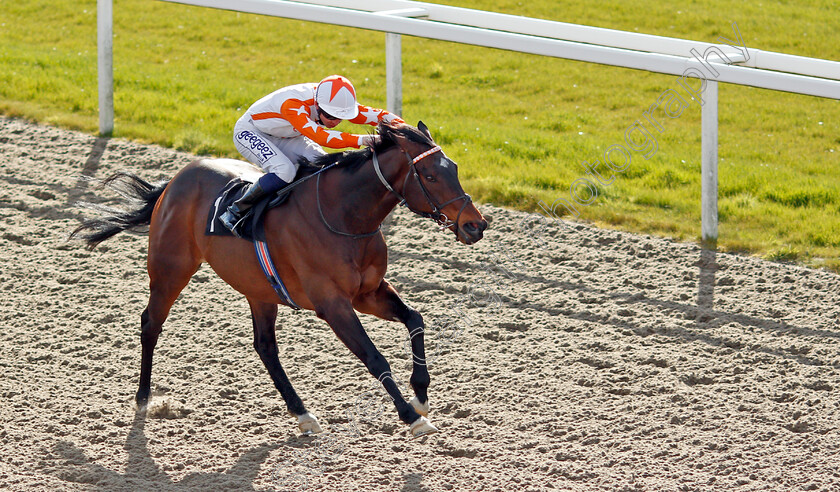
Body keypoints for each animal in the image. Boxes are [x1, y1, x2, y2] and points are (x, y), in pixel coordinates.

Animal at [74, 121, 492, 436]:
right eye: (429, 175)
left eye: (454, 169)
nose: (476, 225)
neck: (344, 216)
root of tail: (176, 179)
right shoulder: (333, 304)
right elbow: (374, 357)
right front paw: (410, 415)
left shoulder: (368, 293)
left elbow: (415, 320)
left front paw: (420, 394)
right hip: (170, 268)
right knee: (151, 324)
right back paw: (144, 398)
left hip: (258, 289)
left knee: (265, 347)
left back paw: (302, 413)